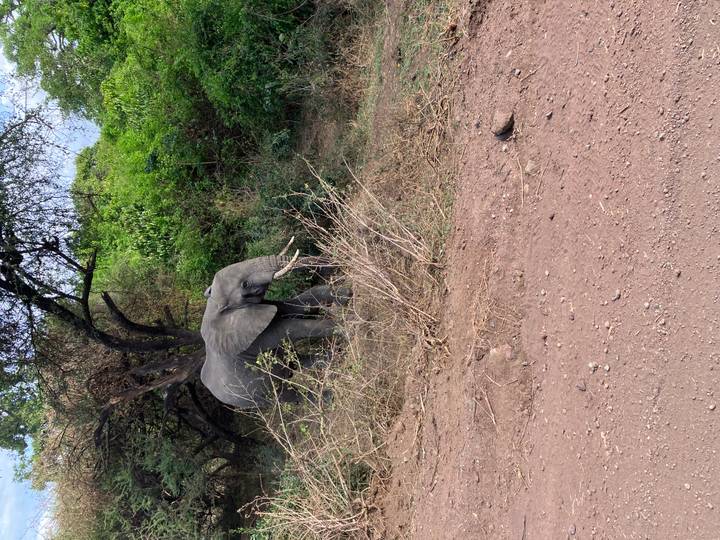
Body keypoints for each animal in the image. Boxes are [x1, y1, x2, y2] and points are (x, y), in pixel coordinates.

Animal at [199, 239, 348, 409]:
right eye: (245, 284)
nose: (336, 263)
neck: (213, 306)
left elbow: (296, 305)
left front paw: (345, 296)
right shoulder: (250, 337)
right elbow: (289, 328)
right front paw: (348, 326)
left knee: (294, 362)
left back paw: (330, 359)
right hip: (252, 397)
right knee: (287, 394)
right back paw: (330, 396)